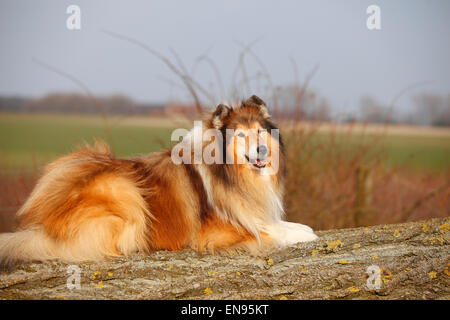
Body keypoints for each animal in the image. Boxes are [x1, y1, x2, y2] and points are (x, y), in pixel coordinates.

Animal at [0, 95, 316, 268]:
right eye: (240, 135)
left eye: (260, 132)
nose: (262, 151)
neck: (232, 174)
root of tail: (43, 217)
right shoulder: (219, 232)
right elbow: (274, 232)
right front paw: (305, 235)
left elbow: (288, 225)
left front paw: (304, 229)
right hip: (124, 188)